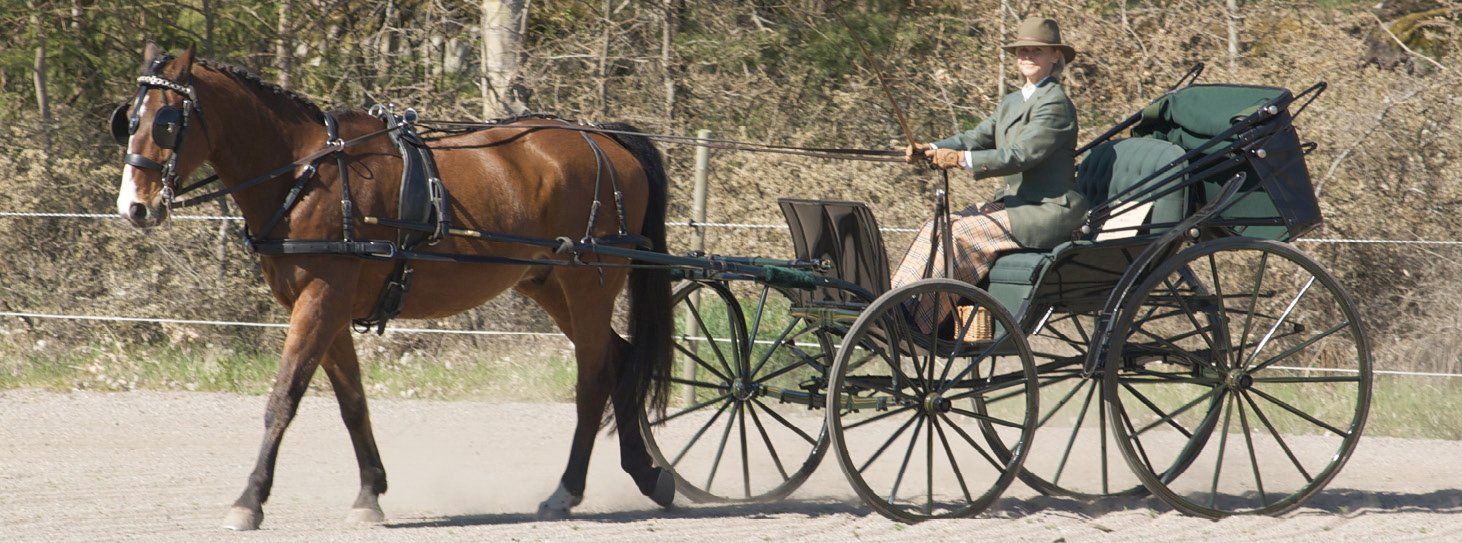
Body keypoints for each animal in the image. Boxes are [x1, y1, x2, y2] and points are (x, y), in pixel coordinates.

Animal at [110, 43, 675, 530]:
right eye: (128, 122)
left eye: (166, 123)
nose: (134, 207)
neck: (306, 175)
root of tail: (606, 140)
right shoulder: (329, 309)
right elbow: (352, 402)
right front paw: (369, 494)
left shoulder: (320, 300)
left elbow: (283, 398)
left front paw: (249, 501)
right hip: (547, 283)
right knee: (620, 358)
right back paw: (648, 475)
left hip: (589, 284)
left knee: (593, 379)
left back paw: (567, 490)